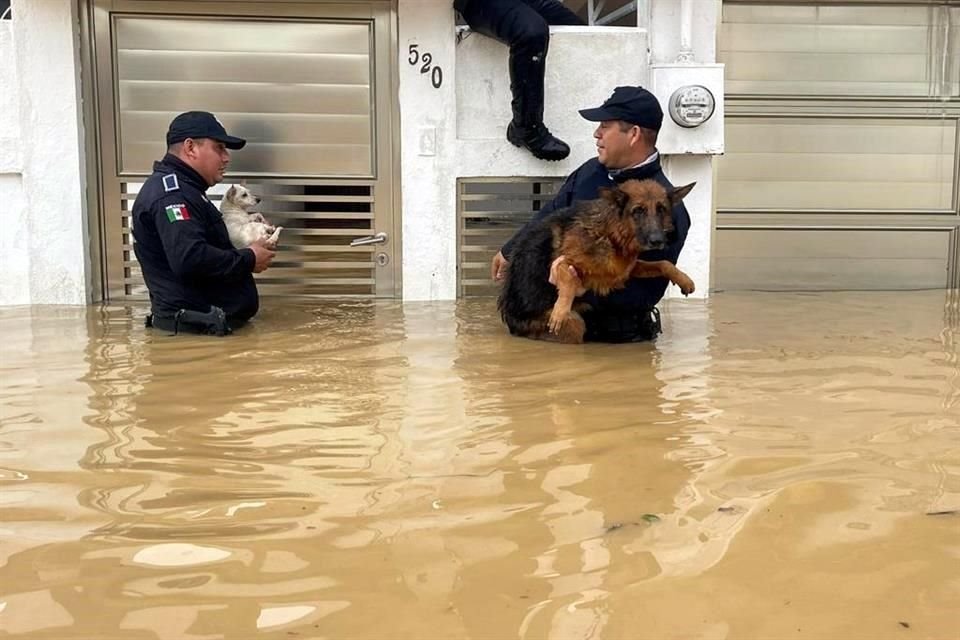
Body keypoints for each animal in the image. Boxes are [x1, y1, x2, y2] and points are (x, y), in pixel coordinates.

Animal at [498, 178, 692, 342]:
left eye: (661, 209)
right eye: (638, 211)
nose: (658, 241)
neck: (612, 236)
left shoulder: (627, 270)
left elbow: (663, 263)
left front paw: (685, 280)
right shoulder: (563, 262)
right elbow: (568, 279)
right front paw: (561, 309)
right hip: (572, 325)